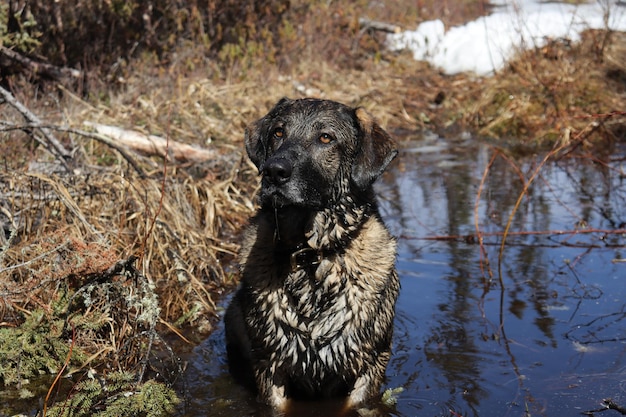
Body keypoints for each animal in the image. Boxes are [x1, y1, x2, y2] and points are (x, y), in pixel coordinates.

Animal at [224, 97, 400, 412]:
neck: (311, 254)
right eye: (278, 133)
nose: (274, 171)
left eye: (326, 138)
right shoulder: (270, 366)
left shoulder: (369, 365)